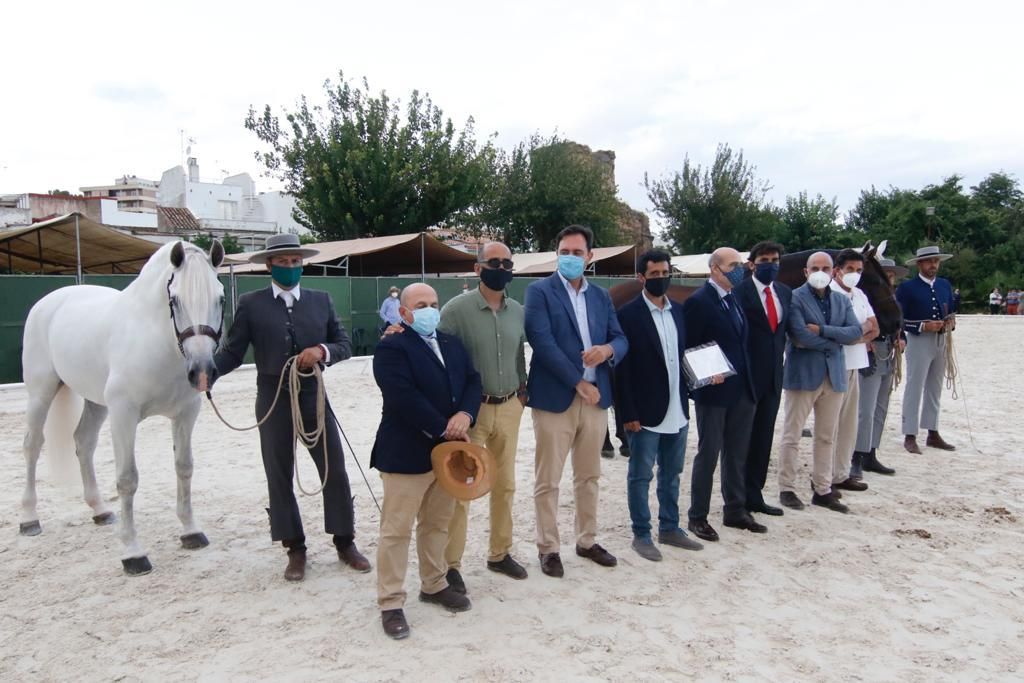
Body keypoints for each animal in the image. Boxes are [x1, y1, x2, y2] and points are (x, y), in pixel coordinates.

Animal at [20, 242, 225, 573]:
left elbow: (184, 468)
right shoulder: (123, 414)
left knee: (84, 443)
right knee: (32, 446)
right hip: (41, 393)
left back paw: (100, 510)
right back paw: (29, 519)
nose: (203, 372)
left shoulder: (185, 414)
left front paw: (190, 531)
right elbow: (127, 479)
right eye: (175, 300)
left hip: (95, 403)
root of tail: (50, 300)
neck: (157, 341)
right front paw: (132, 552)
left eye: (220, 298)